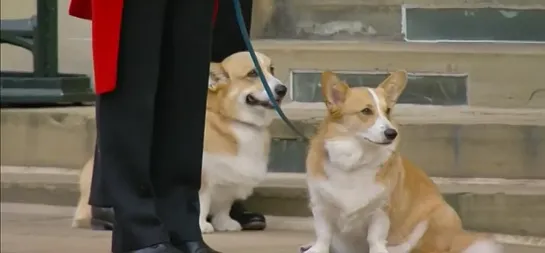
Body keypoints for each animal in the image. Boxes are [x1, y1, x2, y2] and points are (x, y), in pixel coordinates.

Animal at [71, 51, 284, 233]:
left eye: (272, 69)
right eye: (253, 73)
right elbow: (201, 202)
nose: (283, 89)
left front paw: (225, 223)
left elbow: (224, 206)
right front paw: (201, 226)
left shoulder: (229, 178)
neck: (229, 118)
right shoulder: (202, 177)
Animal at [302, 71, 502, 253]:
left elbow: (375, 239)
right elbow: (324, 235)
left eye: (388, 111)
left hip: (440, 215)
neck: (354, 162)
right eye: (366, 111)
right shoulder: (320, 206)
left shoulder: (381, 211)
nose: (392, 133)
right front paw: (316, 248)